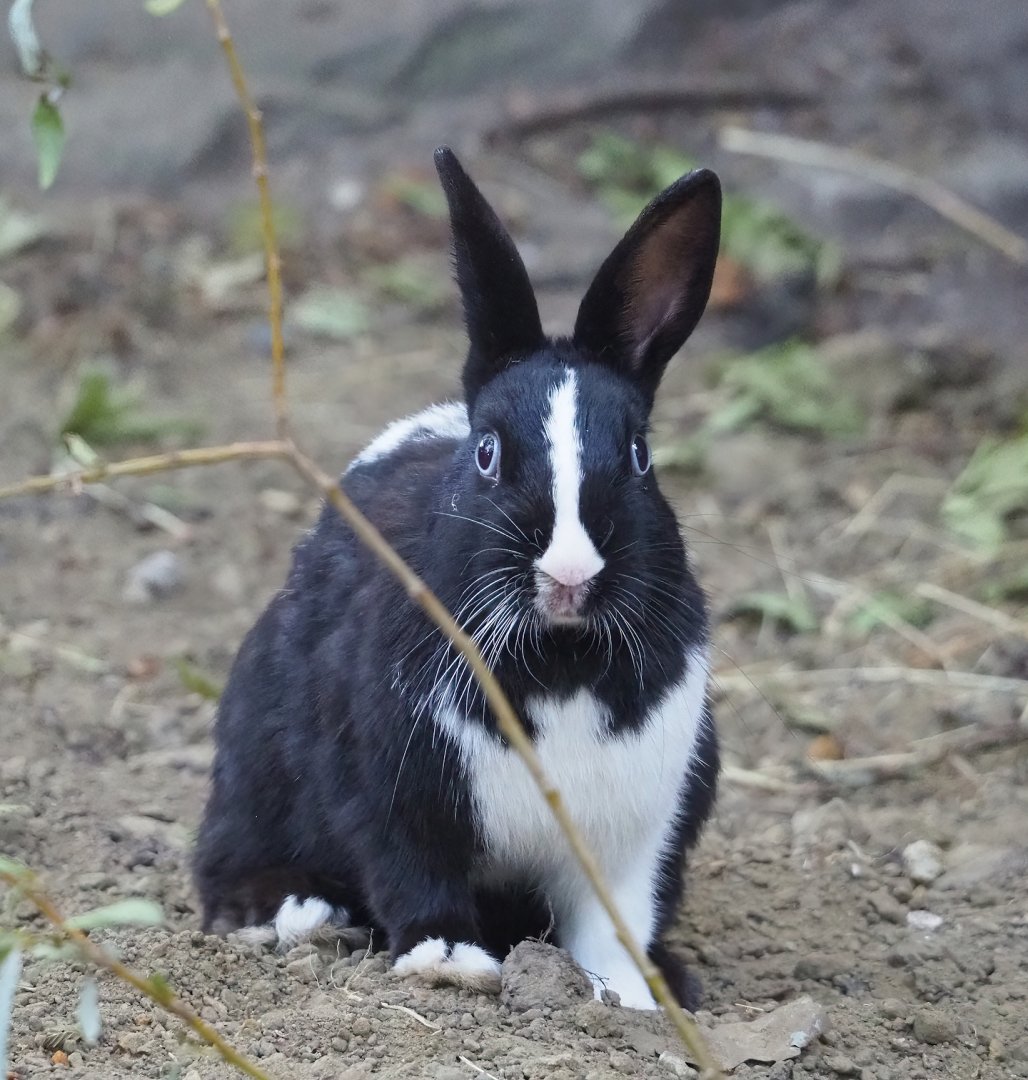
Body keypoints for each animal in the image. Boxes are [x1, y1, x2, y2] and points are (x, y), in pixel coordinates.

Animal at [193, 146, 722, 1011]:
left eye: (641, 457)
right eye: (487, 453)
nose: (569, 574)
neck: (560, 662)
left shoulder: (639, 831)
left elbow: (613, 925)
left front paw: (631, 1000)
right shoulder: (390, 790)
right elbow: (413, 873)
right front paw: (449, 960)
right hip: (251, 761)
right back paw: (300, 913)